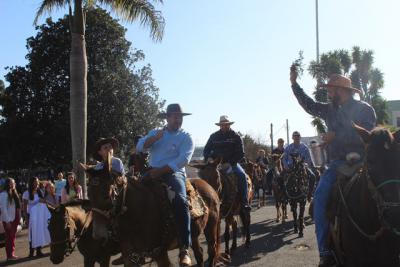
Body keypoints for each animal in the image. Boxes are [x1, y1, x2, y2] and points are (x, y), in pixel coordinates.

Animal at [83, 155, 222, 267]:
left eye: (106, 196)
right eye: (89, 195)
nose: (98, 235)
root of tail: (209, 186)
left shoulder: (160, 254)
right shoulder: (130, 256)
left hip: (211, 228)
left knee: (211, 251)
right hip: (194, 235)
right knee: (199, 254)